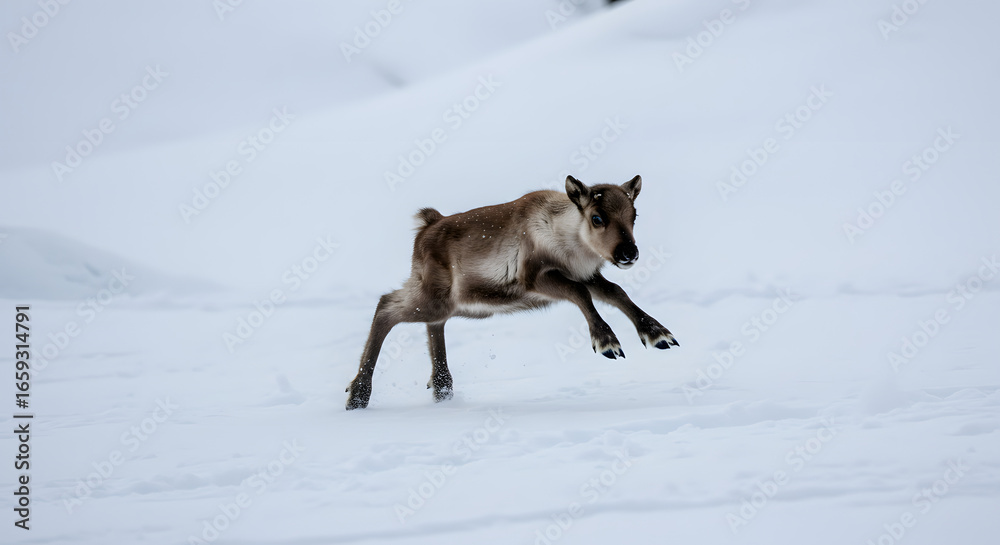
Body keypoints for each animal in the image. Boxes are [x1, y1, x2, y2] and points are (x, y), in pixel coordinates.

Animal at [345, 175, 678, 410]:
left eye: (634, 215)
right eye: (597, 217)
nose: (628, 253)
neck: (568, 239)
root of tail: (427, 225)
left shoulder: (588, 274)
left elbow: (616, 292)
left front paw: (659, 334)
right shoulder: (536, 279)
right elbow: (580, 294)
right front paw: (607, 342)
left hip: (448, 302)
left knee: (430, 324)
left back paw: (442, 388)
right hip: (433, 297)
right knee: (386, 306)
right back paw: (358, 395)